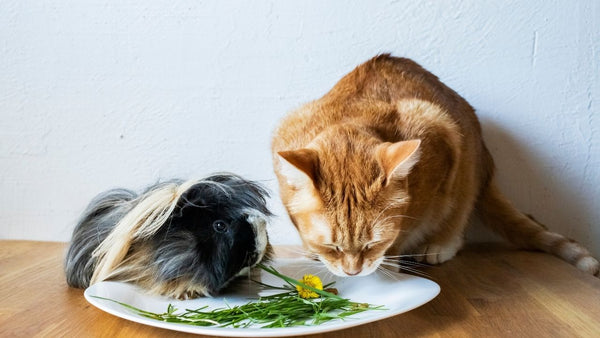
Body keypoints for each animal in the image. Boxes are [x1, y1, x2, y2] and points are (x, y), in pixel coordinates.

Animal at [272, 53, 600, 278]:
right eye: (332, 247)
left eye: (373, 244)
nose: (353, 272)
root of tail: (487, 161)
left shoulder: (438, 131)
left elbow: (410, 225)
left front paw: (392, 256)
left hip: (465, 160)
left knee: (459, 215)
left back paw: (440, 244)